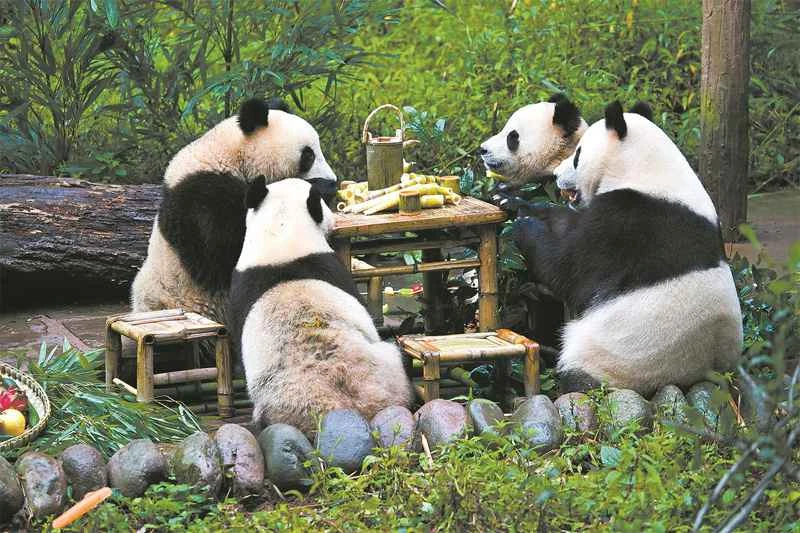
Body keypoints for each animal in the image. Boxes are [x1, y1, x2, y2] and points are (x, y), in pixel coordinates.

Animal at [513, 100, 743, 395]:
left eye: (577, 154)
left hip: (611, 360)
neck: (645, 169)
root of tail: (700, 375)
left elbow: (569, 268)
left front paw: (525, 223)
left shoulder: (627, 223)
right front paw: (516, 202)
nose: (556, 174)